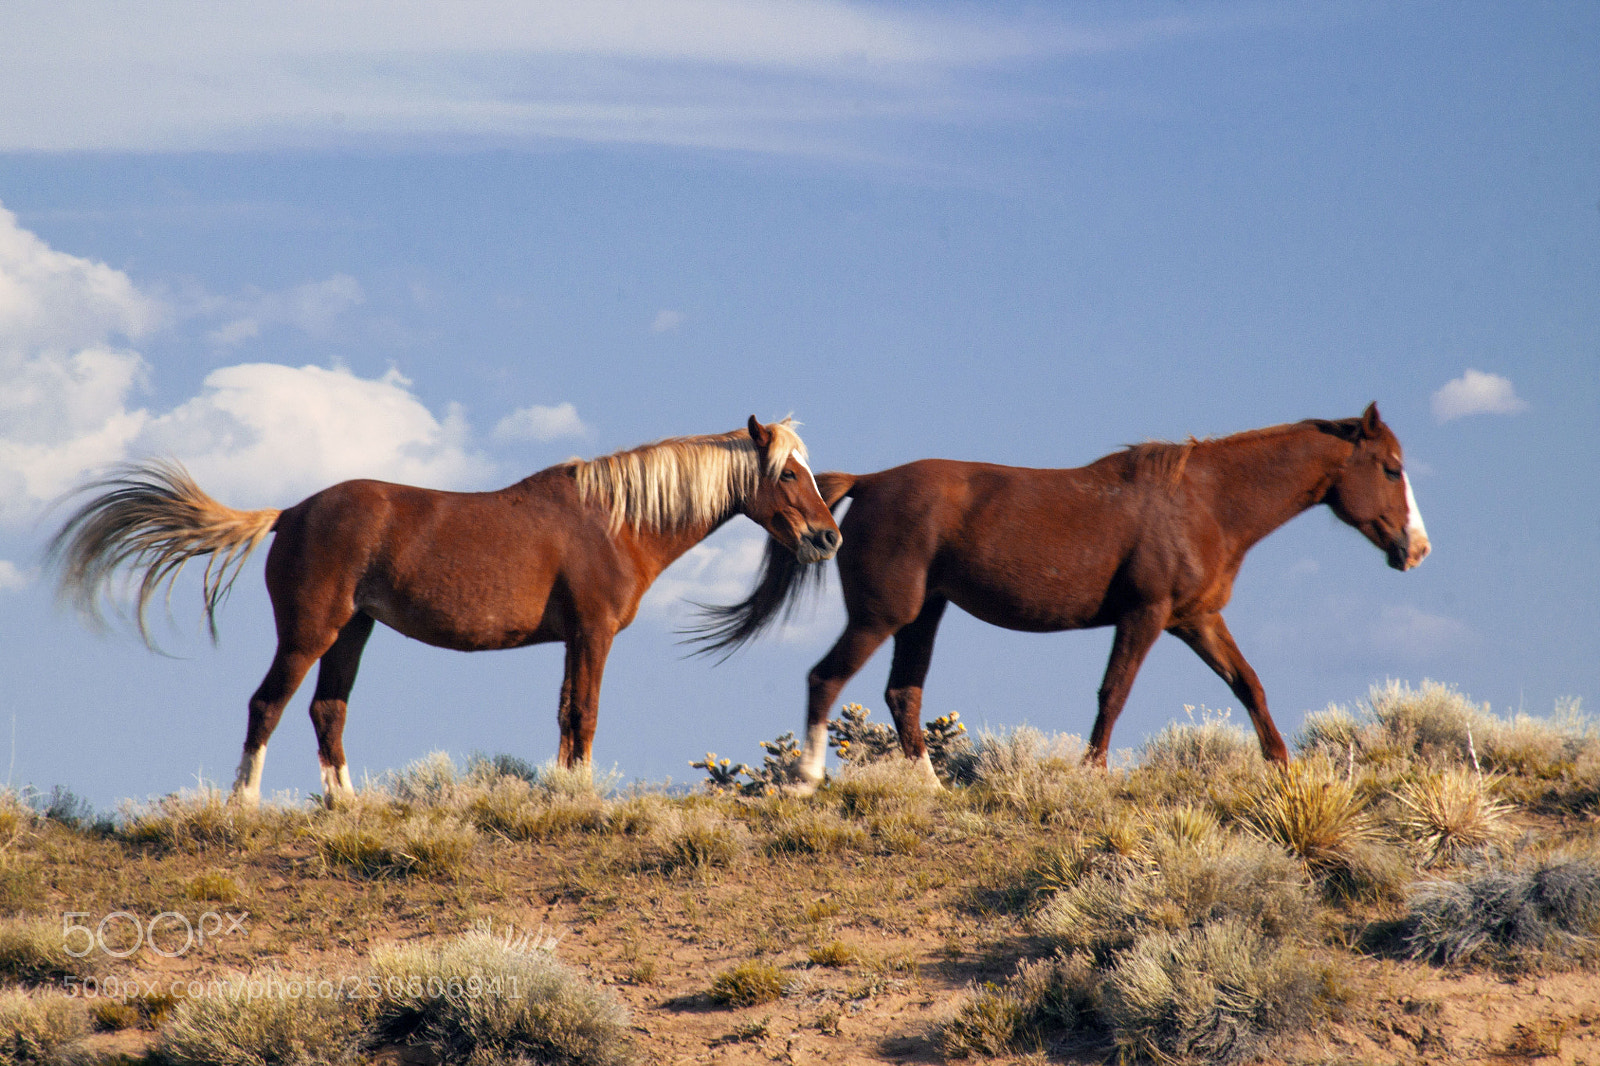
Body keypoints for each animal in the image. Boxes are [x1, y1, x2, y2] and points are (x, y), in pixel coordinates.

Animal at [50, 416, 841, 805]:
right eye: (787, 474)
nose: (827, 537)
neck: (614, 520)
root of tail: (290, 514)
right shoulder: (592, 634)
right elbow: (584, 715)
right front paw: (582, 795)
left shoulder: (571, 640)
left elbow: (564, 714)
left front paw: (563, 790)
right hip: (310, 630)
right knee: (267, 704)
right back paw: (243, 803)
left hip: (354, 630)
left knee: (326, 710)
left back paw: (347, 804)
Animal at [690, 404, 1429, 791]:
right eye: (1391, 468)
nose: (1415, 548)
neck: (1207, 503)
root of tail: (867, 484)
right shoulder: (1145, 615)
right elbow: (1114, 693)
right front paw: (1092, 773)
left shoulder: (1197, 618)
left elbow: (1249, 685)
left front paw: (1284, 771)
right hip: (884, 615)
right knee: (827, 678)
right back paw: (809, 778)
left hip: (924, 615)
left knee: (903, 694)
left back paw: (933, 789)